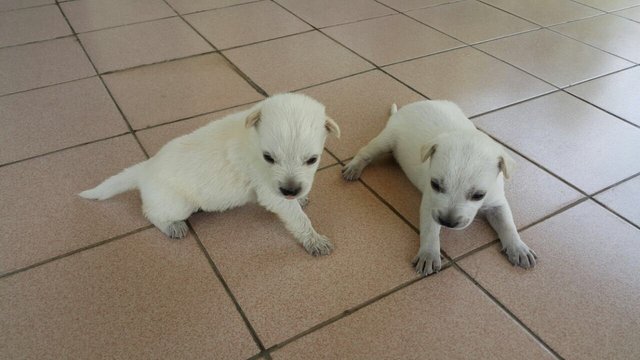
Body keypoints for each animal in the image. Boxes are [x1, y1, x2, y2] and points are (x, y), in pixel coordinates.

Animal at [80, 93, 340, 256]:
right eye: (269, 157)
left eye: (312, 160)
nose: (290, 190)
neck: (253, 139)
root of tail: (145, 169)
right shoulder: (269, 191)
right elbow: (299, 219)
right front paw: (315, 240)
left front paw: (300, 199)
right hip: (177, 204)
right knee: (151, 213)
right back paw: (173, 227)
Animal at [344, 100, 536, 274]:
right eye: (435, 184)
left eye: (478, 195)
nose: (447, 222)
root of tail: (412, 105)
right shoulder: (431, 203)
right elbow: (430, 229)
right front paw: (429, 254)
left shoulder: (497, 202)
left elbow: (507, 224)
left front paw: (518, 247)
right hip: (386, 139)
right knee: (365, 152)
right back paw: (353, 167)